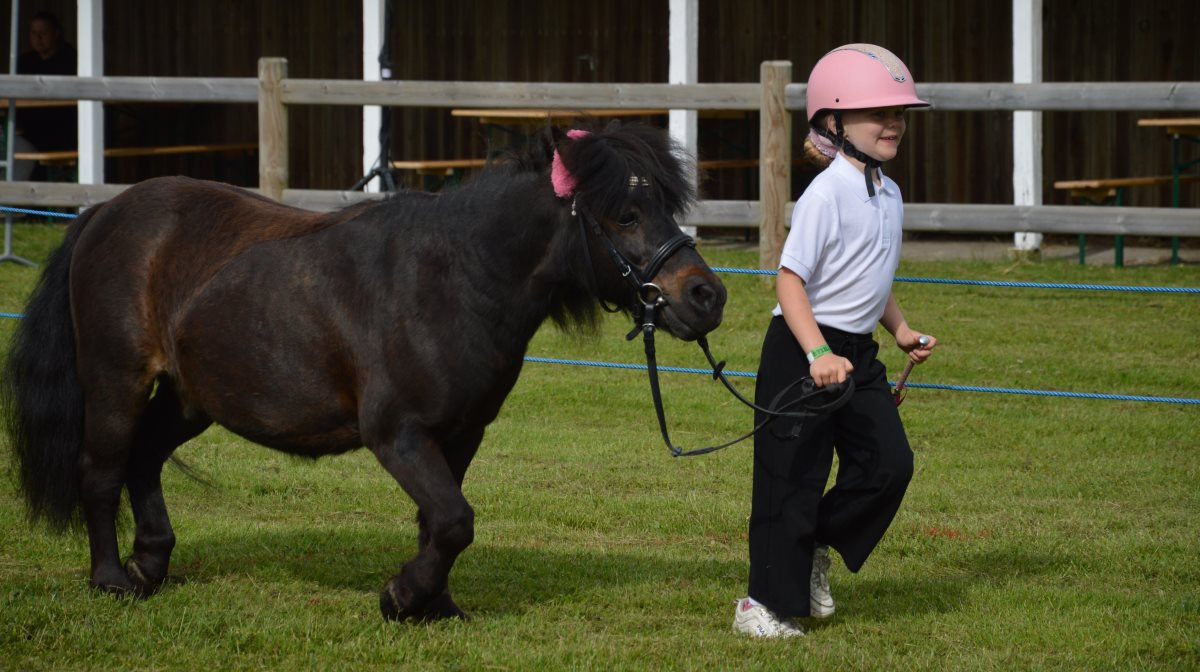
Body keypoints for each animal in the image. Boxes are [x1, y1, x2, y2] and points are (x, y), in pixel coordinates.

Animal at [4, 124, 724, 619]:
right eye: (625, 214)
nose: (705, 296)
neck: (454, 279)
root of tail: (105, 212)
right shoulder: (397, 435)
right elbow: (455, 519)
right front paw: (402, 596)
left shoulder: (459, 435)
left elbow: (440, 522)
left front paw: (433, 606)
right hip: (115, 380)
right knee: (102, 471)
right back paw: (111, 579)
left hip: (188, 398)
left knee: (145, 458)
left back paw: (150, 562)